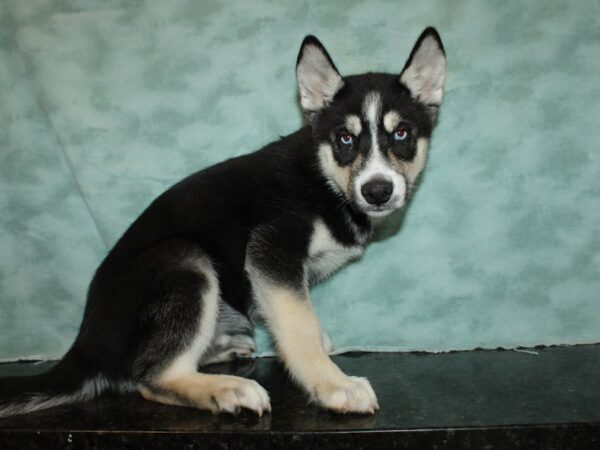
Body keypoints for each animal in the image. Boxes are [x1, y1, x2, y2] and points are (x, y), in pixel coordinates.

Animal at [1, 29, 446, 418]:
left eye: (402, 133)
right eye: (345, 139)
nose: (377, 190)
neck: (325, 180)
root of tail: (84, 346)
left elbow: (300, 320)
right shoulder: (272, 250)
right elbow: (300, 325)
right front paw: (333, 385)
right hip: (184, 261)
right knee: (151, 376)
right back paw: (228, 390)